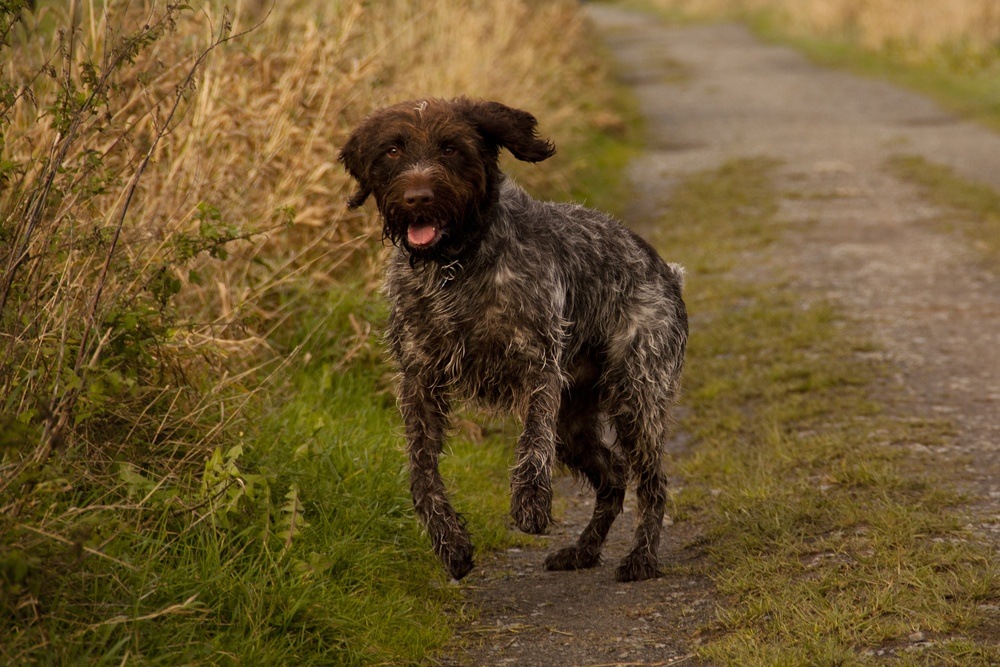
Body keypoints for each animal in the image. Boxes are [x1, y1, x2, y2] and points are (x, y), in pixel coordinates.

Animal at [338, 96, 688, 580]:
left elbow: (532, 440)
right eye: (392, 150)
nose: (418, 198)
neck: (454, 268)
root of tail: (666, 271)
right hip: (574, 423)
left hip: (636, 398)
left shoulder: (538, 365)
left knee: (652, 483)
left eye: (451, 148)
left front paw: (530, 502)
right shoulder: (419, 380)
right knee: (614, 476)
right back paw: (583, 550)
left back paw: (641, 557)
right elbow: (421, 471)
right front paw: (450, 541)